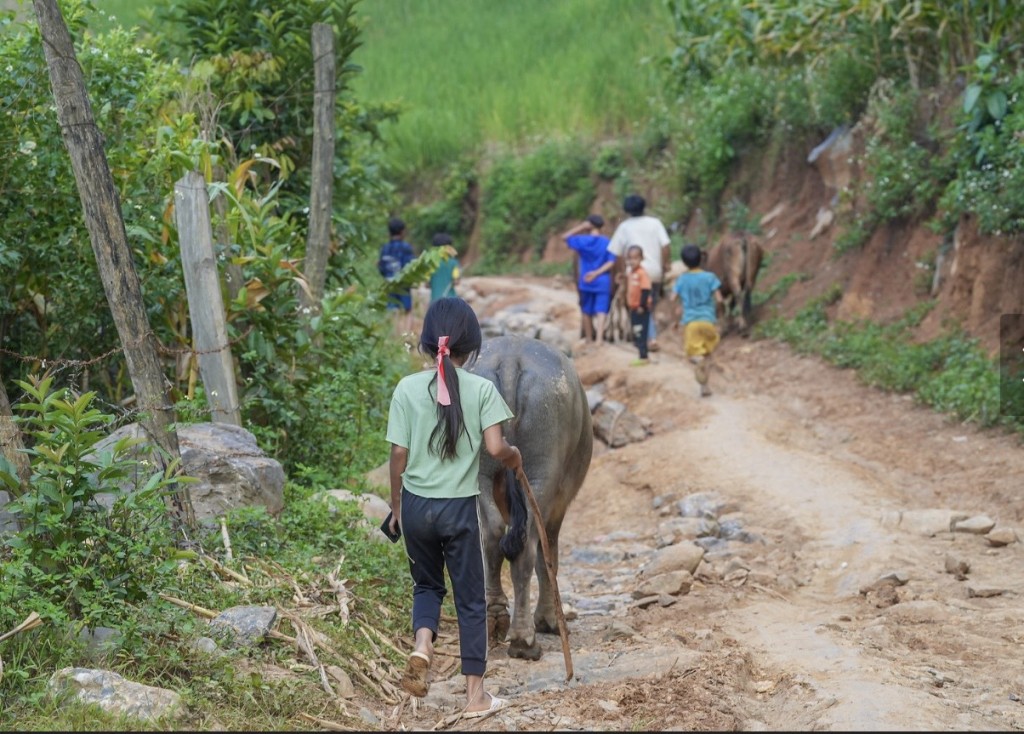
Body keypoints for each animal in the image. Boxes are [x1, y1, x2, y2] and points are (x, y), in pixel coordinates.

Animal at [468, 331, 593, 659]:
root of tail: (512, 360)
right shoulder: (558, 506)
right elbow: (549, 559)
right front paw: (549, 619)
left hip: (480, 473)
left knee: (492, 538)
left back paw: (495, 617)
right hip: (540, 476)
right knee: (527, 552)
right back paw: (524, 640)